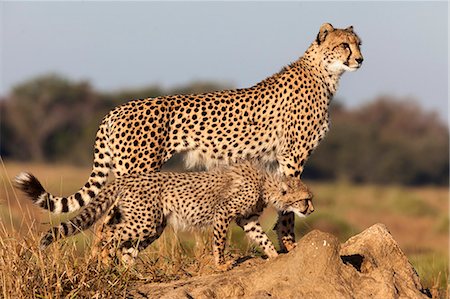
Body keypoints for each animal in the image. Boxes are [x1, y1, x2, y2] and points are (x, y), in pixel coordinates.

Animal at [15, 23, 364, 252]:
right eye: (345, 45)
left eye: (360, 43)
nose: (360, 59)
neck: (325, 73)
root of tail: (116, 109)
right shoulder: (292, 154)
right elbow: (288, 204)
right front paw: (290, 245)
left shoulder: (280, 158)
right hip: (139, 171)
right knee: (106, 224)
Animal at [31, 164, 314, 270]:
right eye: (305, 199)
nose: (311, 210)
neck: (266, 183)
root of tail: (128, 177)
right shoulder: (223, 214)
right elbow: (220, 242)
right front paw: (221, 264)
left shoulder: (248, 219)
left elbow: (261, 237)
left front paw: (275, 256)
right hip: (145, 221)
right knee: (110, 232)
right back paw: (104, 258)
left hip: (153, 225)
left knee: (127, 247)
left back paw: (132, 273)